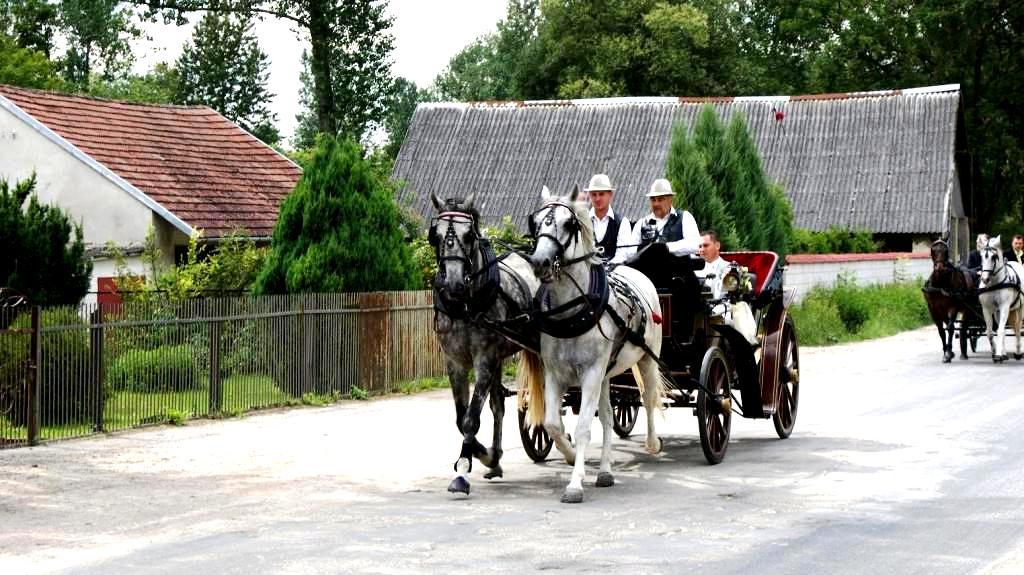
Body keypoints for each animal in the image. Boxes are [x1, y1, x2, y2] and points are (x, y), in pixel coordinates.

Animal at [520, 184, 671, 501]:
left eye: (569, 223)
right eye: (535, 222)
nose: (539, 262)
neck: (573, 309)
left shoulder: (590, 373)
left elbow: (583, 428)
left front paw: (575, 484)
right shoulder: (556, 374)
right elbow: (552, 424)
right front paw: (569, 455)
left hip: (645, 359)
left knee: (648, 397)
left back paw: (652, 443)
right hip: (605, 374)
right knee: (609, 418)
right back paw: (605, 471)